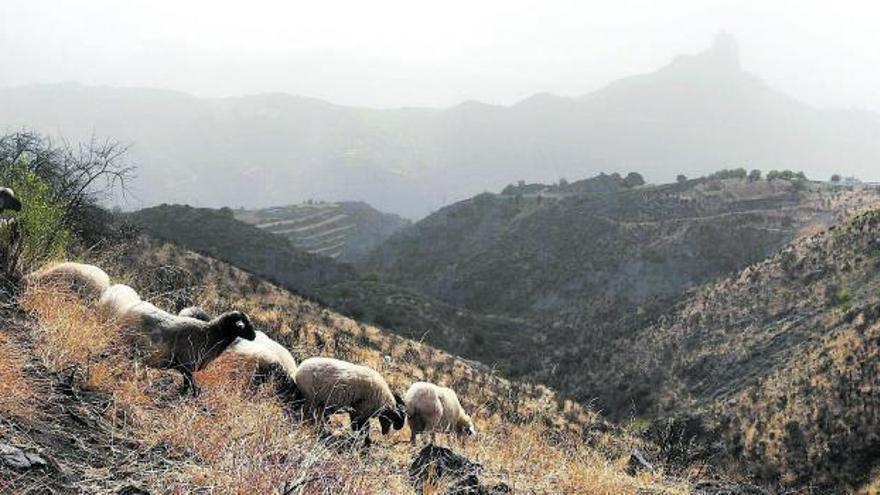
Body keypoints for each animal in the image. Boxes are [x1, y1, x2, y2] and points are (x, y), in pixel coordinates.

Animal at [117, 302, 254, 396]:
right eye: (244, 325)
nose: (254, 336)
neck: (211, 335)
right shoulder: (186, 365)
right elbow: (190, 384)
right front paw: (189, 396)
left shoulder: (185, 368)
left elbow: (188, 384)